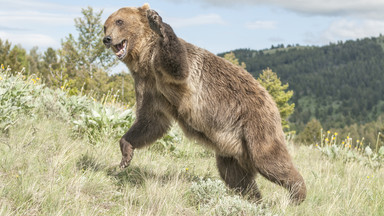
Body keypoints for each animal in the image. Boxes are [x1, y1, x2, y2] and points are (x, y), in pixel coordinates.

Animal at [103, 4, 308, 205]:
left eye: (119, 21)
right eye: (105, 25)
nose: (107, 38)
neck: (144, 59)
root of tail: (271, 101)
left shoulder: (172, 70)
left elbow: (178, 66)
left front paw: (158, 23)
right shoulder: (149, 86)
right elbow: (150, 121)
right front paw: (126, 154)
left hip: (255, 123)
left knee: (268, 159)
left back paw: (297, 194)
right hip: (232, 147)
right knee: (235, 175)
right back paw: (253, 199)